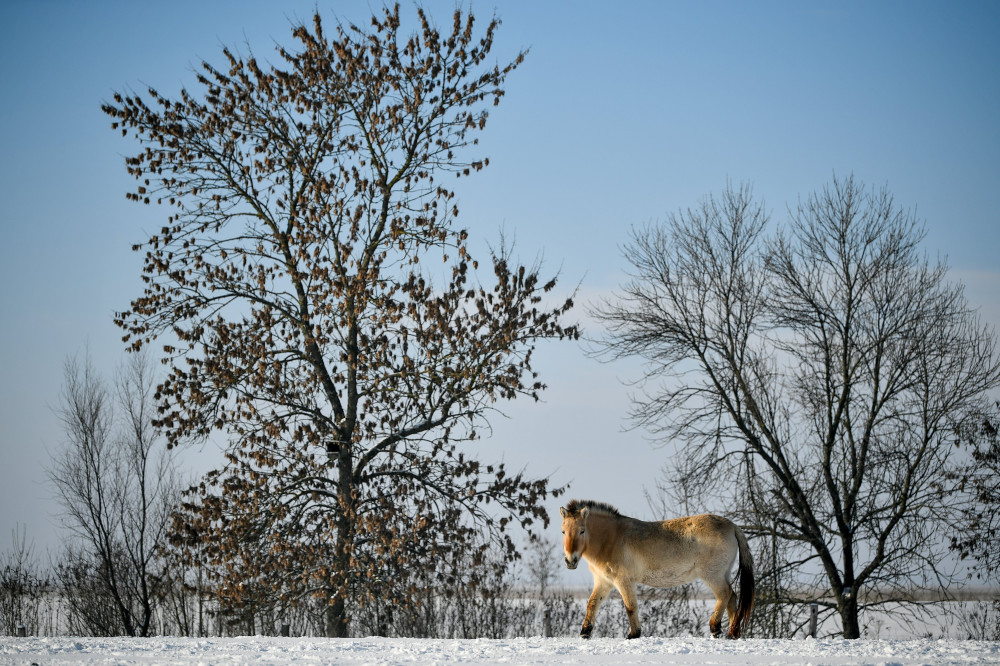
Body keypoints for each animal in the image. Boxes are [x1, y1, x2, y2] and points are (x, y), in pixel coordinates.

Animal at [560, 498, 752, 640]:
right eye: (563, 531)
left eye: (582, 530)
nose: (570, 560)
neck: (611, 539)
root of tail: (732, 526)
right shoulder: (603, 582)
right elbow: (592, 604)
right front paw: (585, 633)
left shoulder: (624, 581)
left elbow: (630, 607)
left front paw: (633, 634)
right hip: (722, 574)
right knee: (732, 598)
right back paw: (732, 633)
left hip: (712, 575)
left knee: (725, 595)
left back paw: (715, 628)